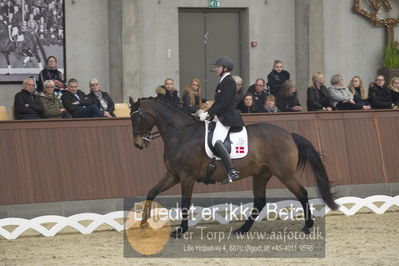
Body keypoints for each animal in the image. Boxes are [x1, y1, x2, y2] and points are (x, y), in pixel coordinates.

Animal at [130, 97, 340, 237]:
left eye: (137, 117)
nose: (138, 144)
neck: (181, 134)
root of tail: (289, 134)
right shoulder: (173, 175)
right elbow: (151, 192)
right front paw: (143, 223)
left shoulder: (186, 177)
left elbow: (184, 204)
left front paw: (181, 230)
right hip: (261, 174)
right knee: (259, 202)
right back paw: (241, 229)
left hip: (284, 173)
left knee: (302, 193)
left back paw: (307, 226)